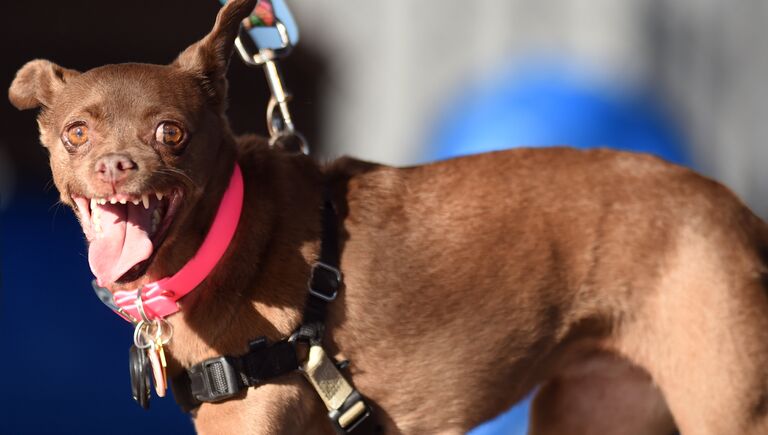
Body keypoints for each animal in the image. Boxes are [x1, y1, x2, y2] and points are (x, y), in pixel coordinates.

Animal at [9, 0, 768, 435]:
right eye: (77, 133)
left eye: (170, 132)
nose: (116, 165)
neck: (225, 239)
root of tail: (736, 211)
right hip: (597, 407)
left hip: (728, 407)